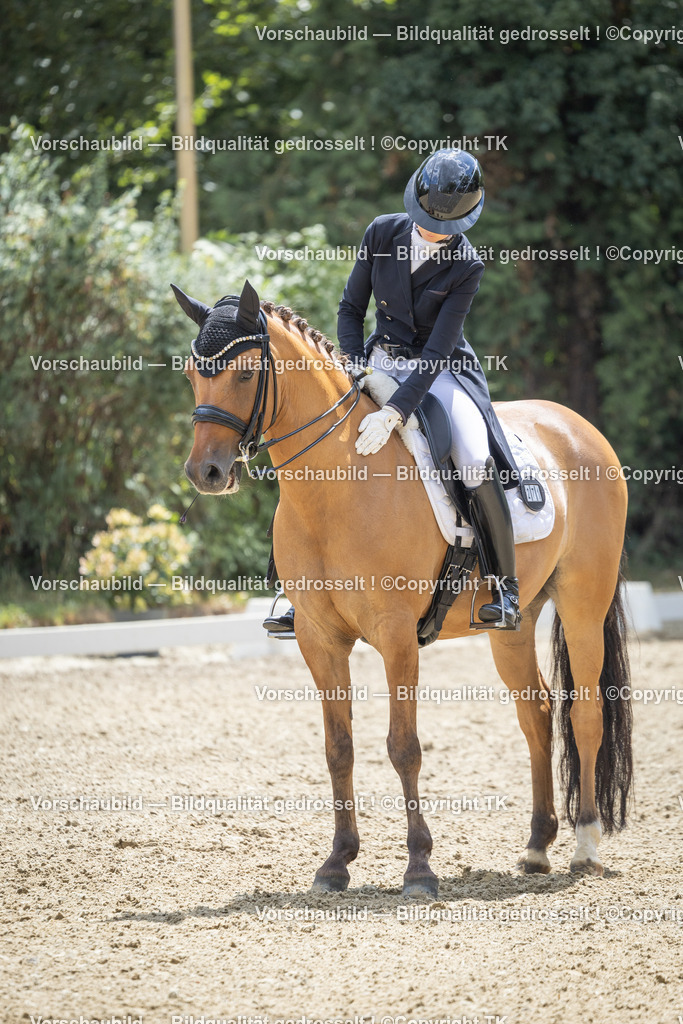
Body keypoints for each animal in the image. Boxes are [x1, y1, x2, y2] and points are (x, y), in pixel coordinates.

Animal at [174, 279, 633, 899]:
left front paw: (419, 868)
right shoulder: (318, 640)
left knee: (583, 712)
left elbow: (404, 747)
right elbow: (338, 748)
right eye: (191, 373)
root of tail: (579, 426)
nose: (207, 474)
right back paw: (538, 846)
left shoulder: (396, 637)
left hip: (584, 604)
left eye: (245, 374)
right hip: (512, 625)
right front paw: (337, 862)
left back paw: (585, 846)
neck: (335, 485)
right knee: (536, 711)